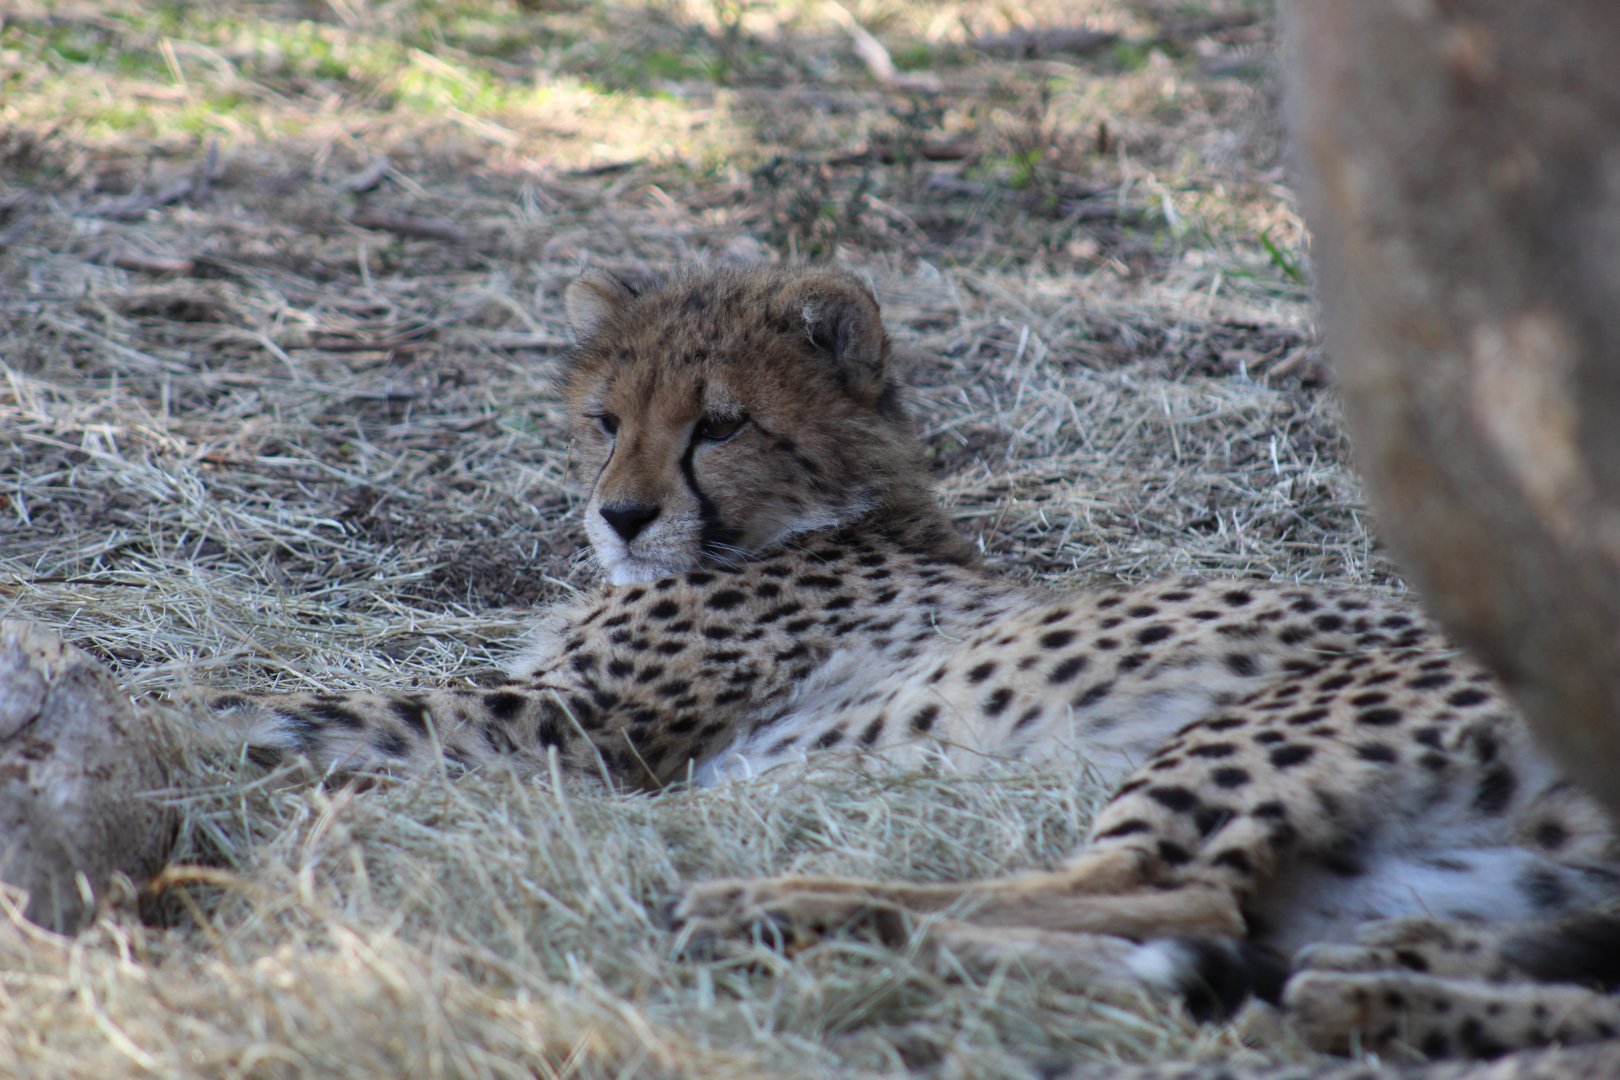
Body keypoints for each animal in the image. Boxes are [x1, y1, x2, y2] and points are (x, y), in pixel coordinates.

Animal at [212, 263, 1620, 1066]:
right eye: (604, 420)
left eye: (719, 425)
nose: (617, 517)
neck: (826, 518)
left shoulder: (578, 727)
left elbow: (327, 703)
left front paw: (203, 727)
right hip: (1418, 884)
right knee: (1201, 926)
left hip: (1262, 730)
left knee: (1167, 899)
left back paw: (763, 905)